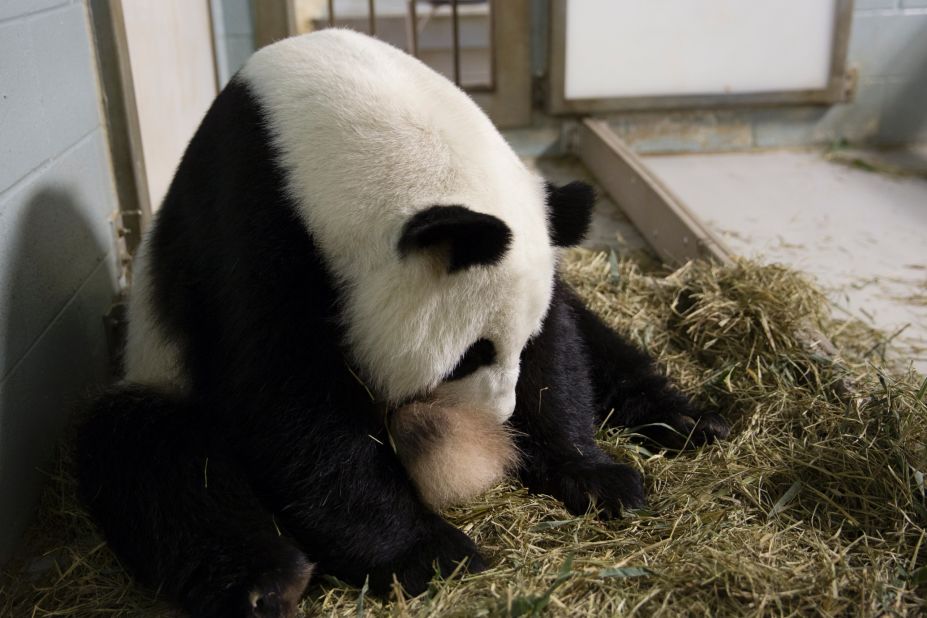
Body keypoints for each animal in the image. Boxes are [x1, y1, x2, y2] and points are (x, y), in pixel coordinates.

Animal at [76, 28, 728, 616]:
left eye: (516, 344)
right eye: (473, 354)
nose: (499, 418)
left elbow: (562, 347)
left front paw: (593, 476)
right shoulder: (252, 225)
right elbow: (286, 402)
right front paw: (433, 553)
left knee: (603, 343)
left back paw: (688, 419)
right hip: (155, 368)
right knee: (157, 458)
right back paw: (269, 581)